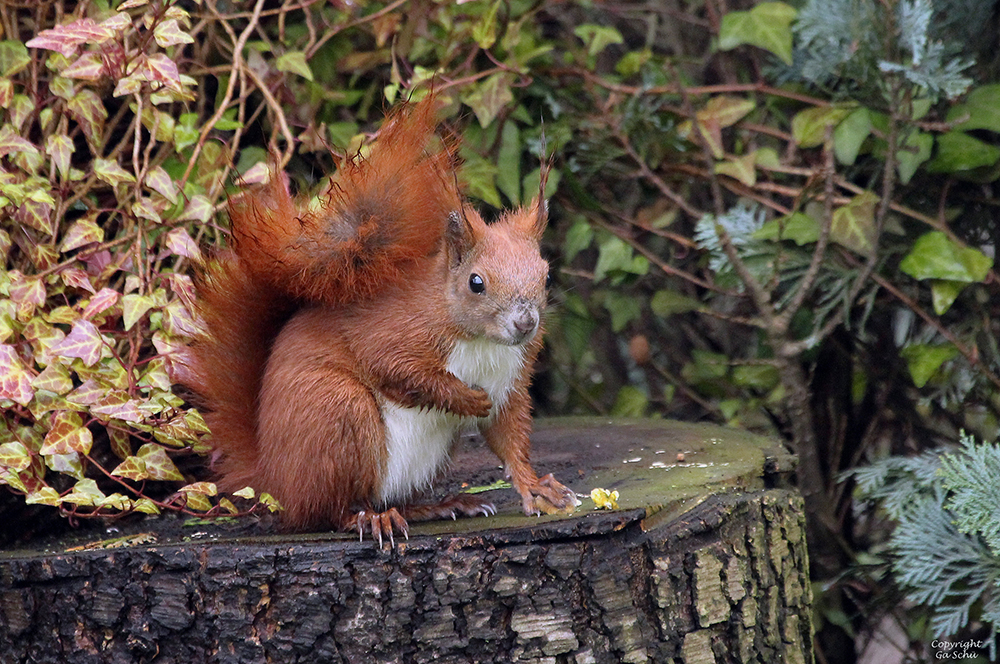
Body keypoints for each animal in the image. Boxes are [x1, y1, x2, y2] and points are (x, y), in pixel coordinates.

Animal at [186, 101, 580, 544]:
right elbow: (399, 369)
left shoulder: (512, 378)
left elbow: (508, 435)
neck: (479, 340)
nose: (525, 323)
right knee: (326, 511)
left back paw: (439, 506)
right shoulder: (394, 331)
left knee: (390, 499)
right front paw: (465, 398)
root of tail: (274, 483)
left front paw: (537, 488)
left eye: (545, 276)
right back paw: (367, 518)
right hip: (338, 413)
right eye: (476, 282)